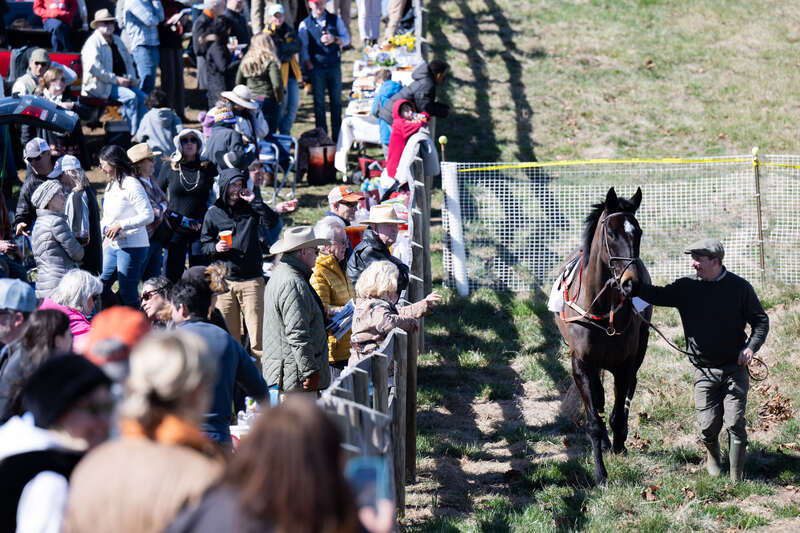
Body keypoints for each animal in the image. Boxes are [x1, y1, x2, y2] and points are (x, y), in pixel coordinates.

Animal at [554, 187, 652, 486]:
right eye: (611, 233)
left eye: (638, 231)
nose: (632, 283)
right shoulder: (582, 365)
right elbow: (594, 420)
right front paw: (600, 473)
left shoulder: (624, 365)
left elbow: (619, 411)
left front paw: (619, 445)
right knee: (598, 398)